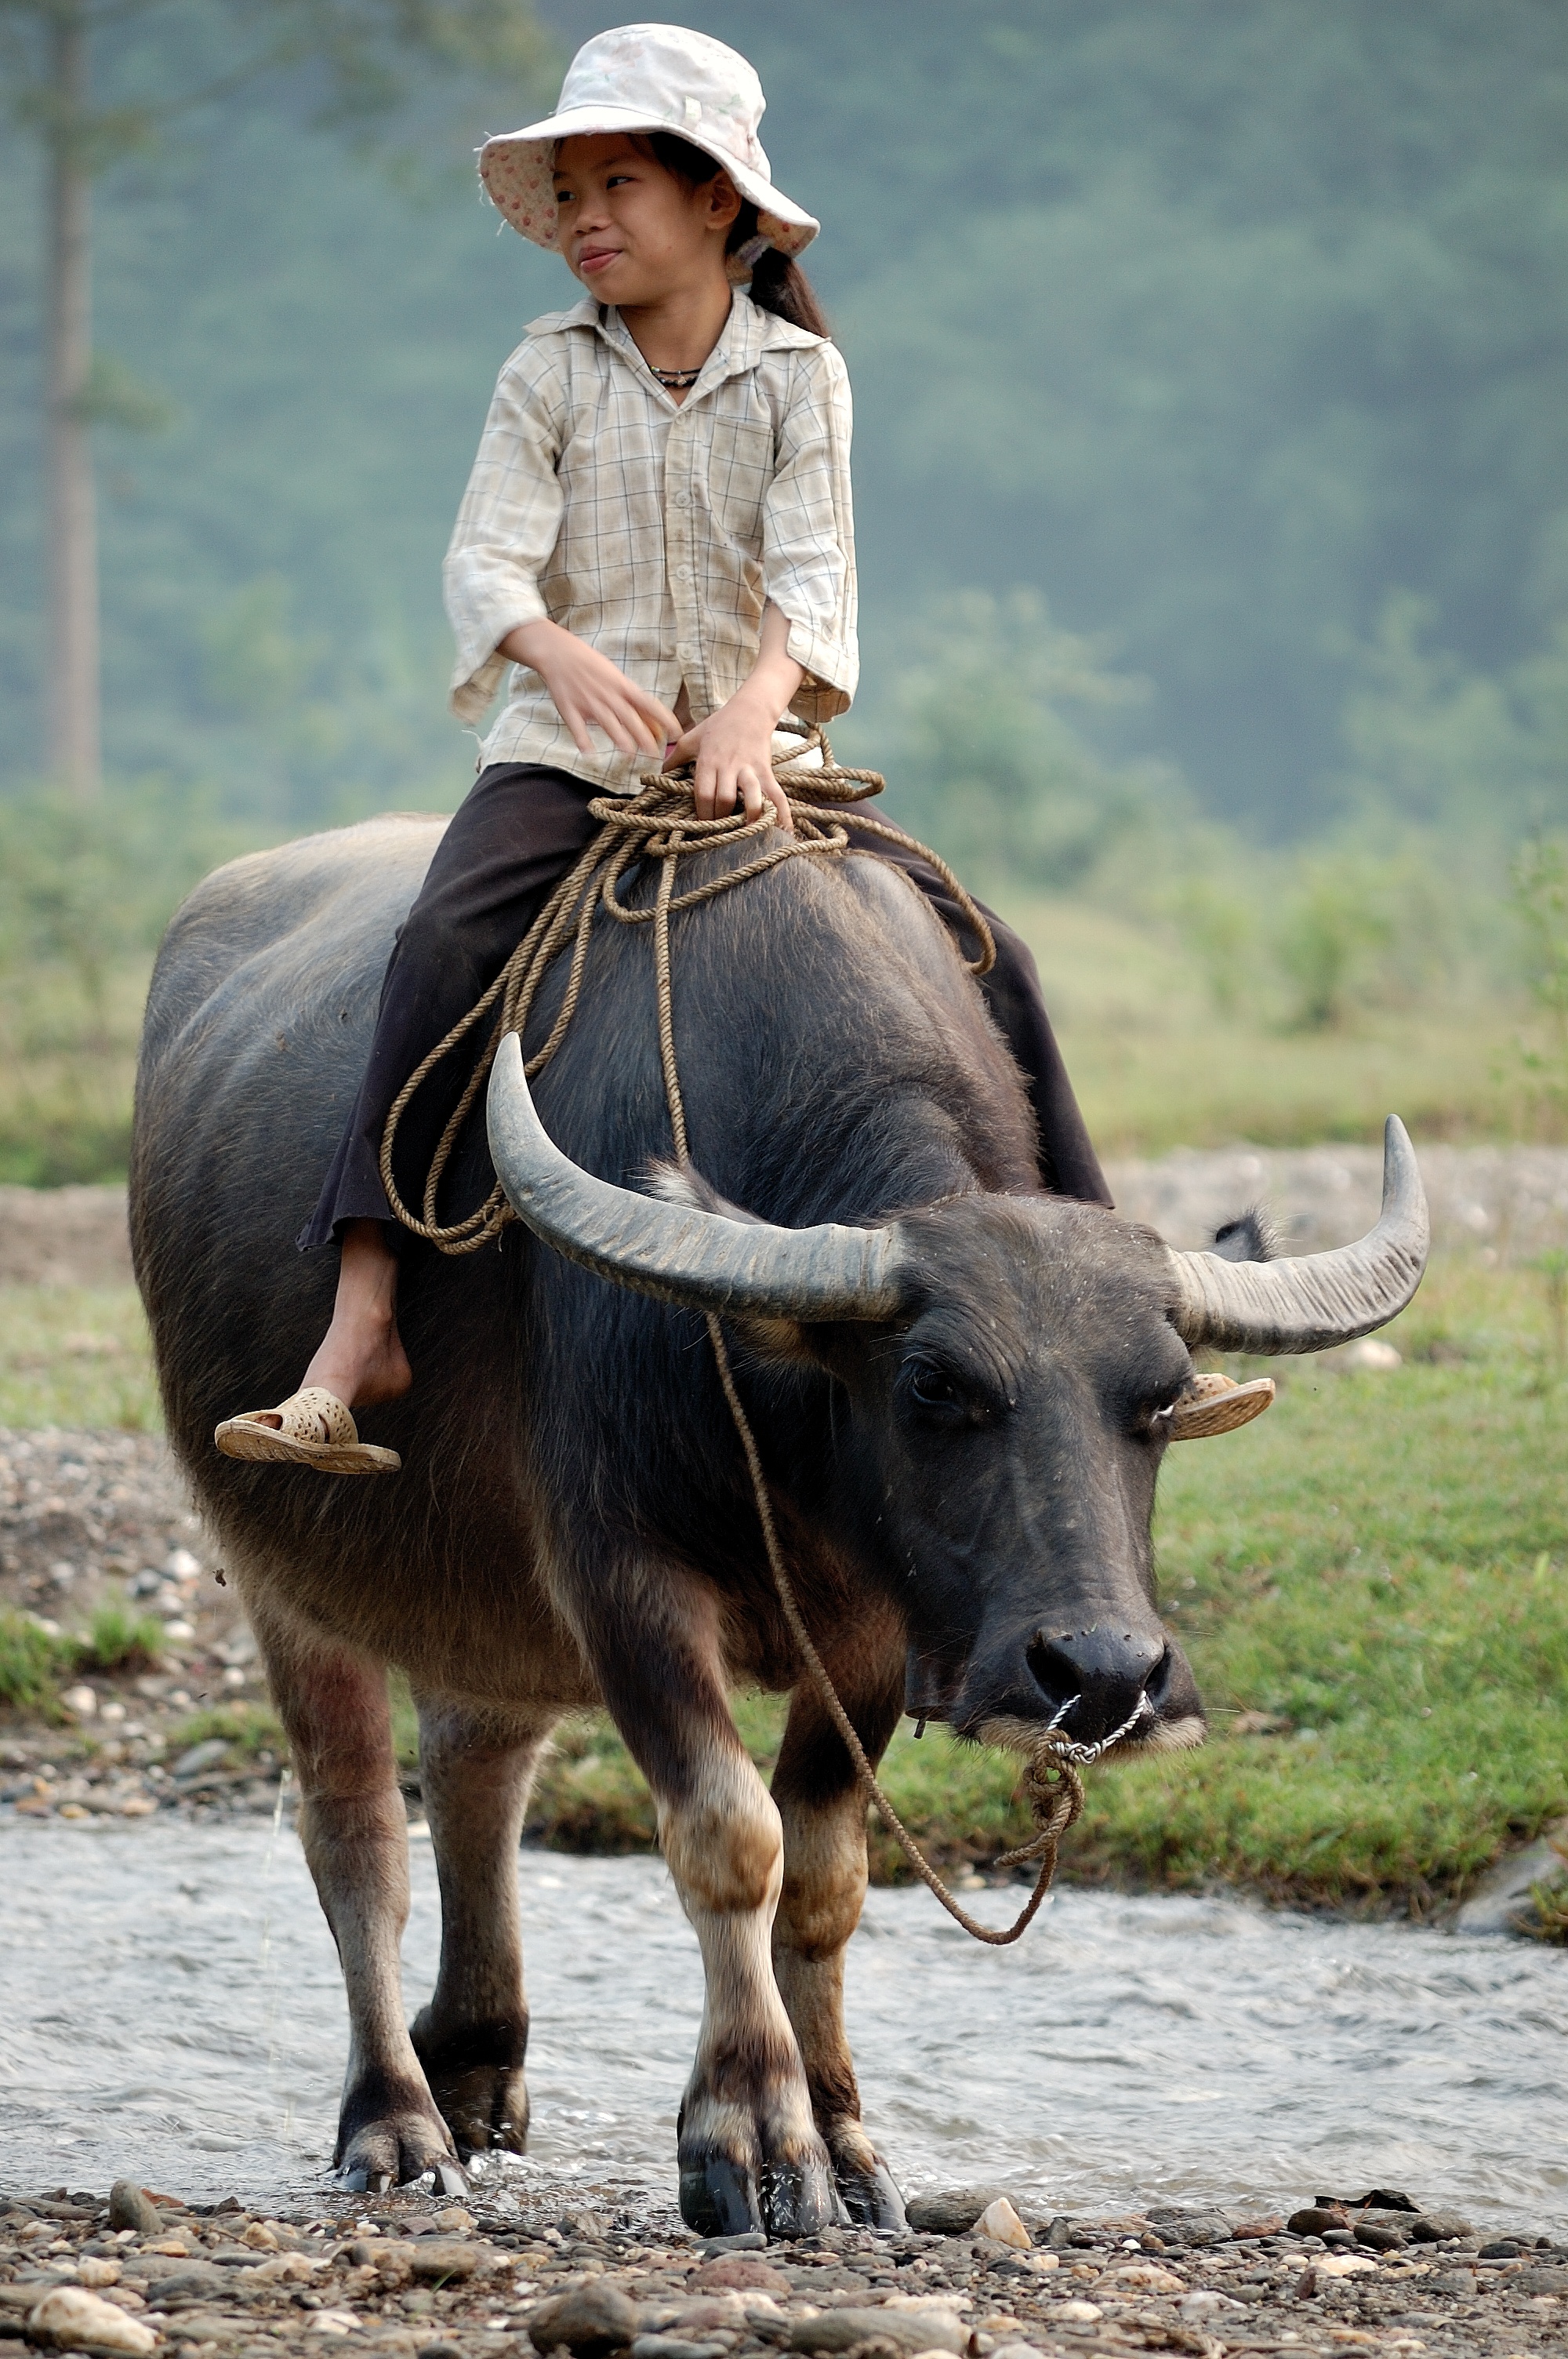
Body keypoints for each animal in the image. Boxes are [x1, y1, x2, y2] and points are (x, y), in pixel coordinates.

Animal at [130, 810, 1426, 2236]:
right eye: (934, 1385)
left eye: (1160, 1396)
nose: (1102, 1675)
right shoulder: (623, 1578)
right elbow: (728, 1834)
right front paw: (749, 2136)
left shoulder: (870, 1629)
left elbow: (826, 1875)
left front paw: (851, 2140)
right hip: (279, 1560)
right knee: (357, 1829)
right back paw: (398, 2121)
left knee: (481, 1762)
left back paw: (474, 2063)